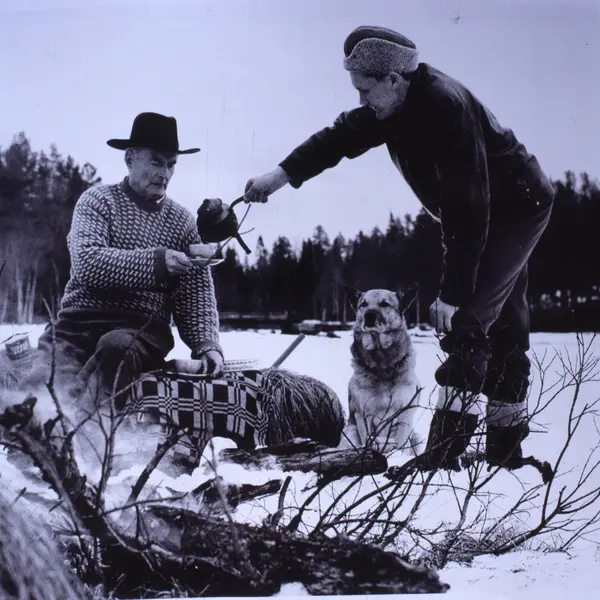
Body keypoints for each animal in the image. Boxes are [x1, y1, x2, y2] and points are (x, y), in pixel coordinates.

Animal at [342, 288, 423, 455]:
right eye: (363, 304)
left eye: (385, 304)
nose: (369, 315)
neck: (382, 367)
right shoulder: (362, 414)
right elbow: (367, 438)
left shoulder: (405, 413)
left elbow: (401, 443)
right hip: (349, 432)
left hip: (416, 437)